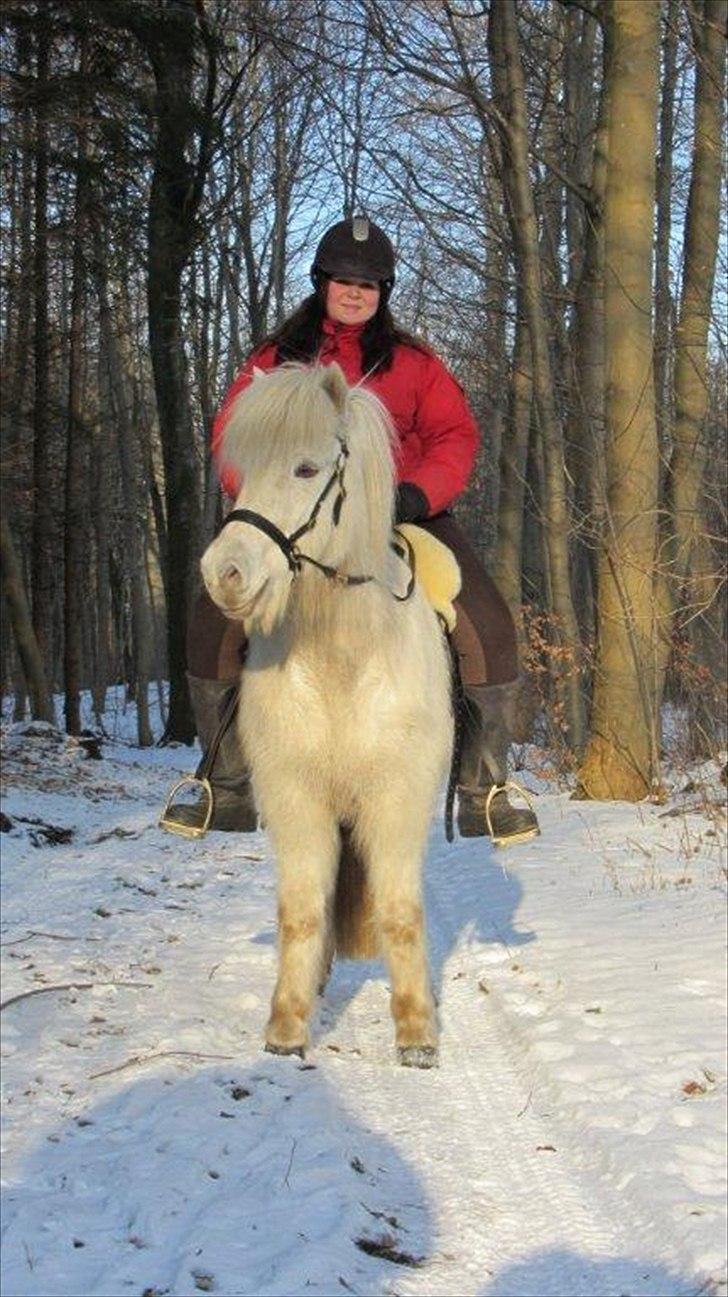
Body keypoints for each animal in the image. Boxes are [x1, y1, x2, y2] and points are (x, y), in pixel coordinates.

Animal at [201, 363, 451, 1063]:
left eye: (307, 468)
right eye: (242, 470)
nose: (225, 573)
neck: (343, 658)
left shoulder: (398, 796)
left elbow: (399, 912)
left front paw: (416, 1032)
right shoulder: (294, 795)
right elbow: (303, 911)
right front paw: (287, 1027)